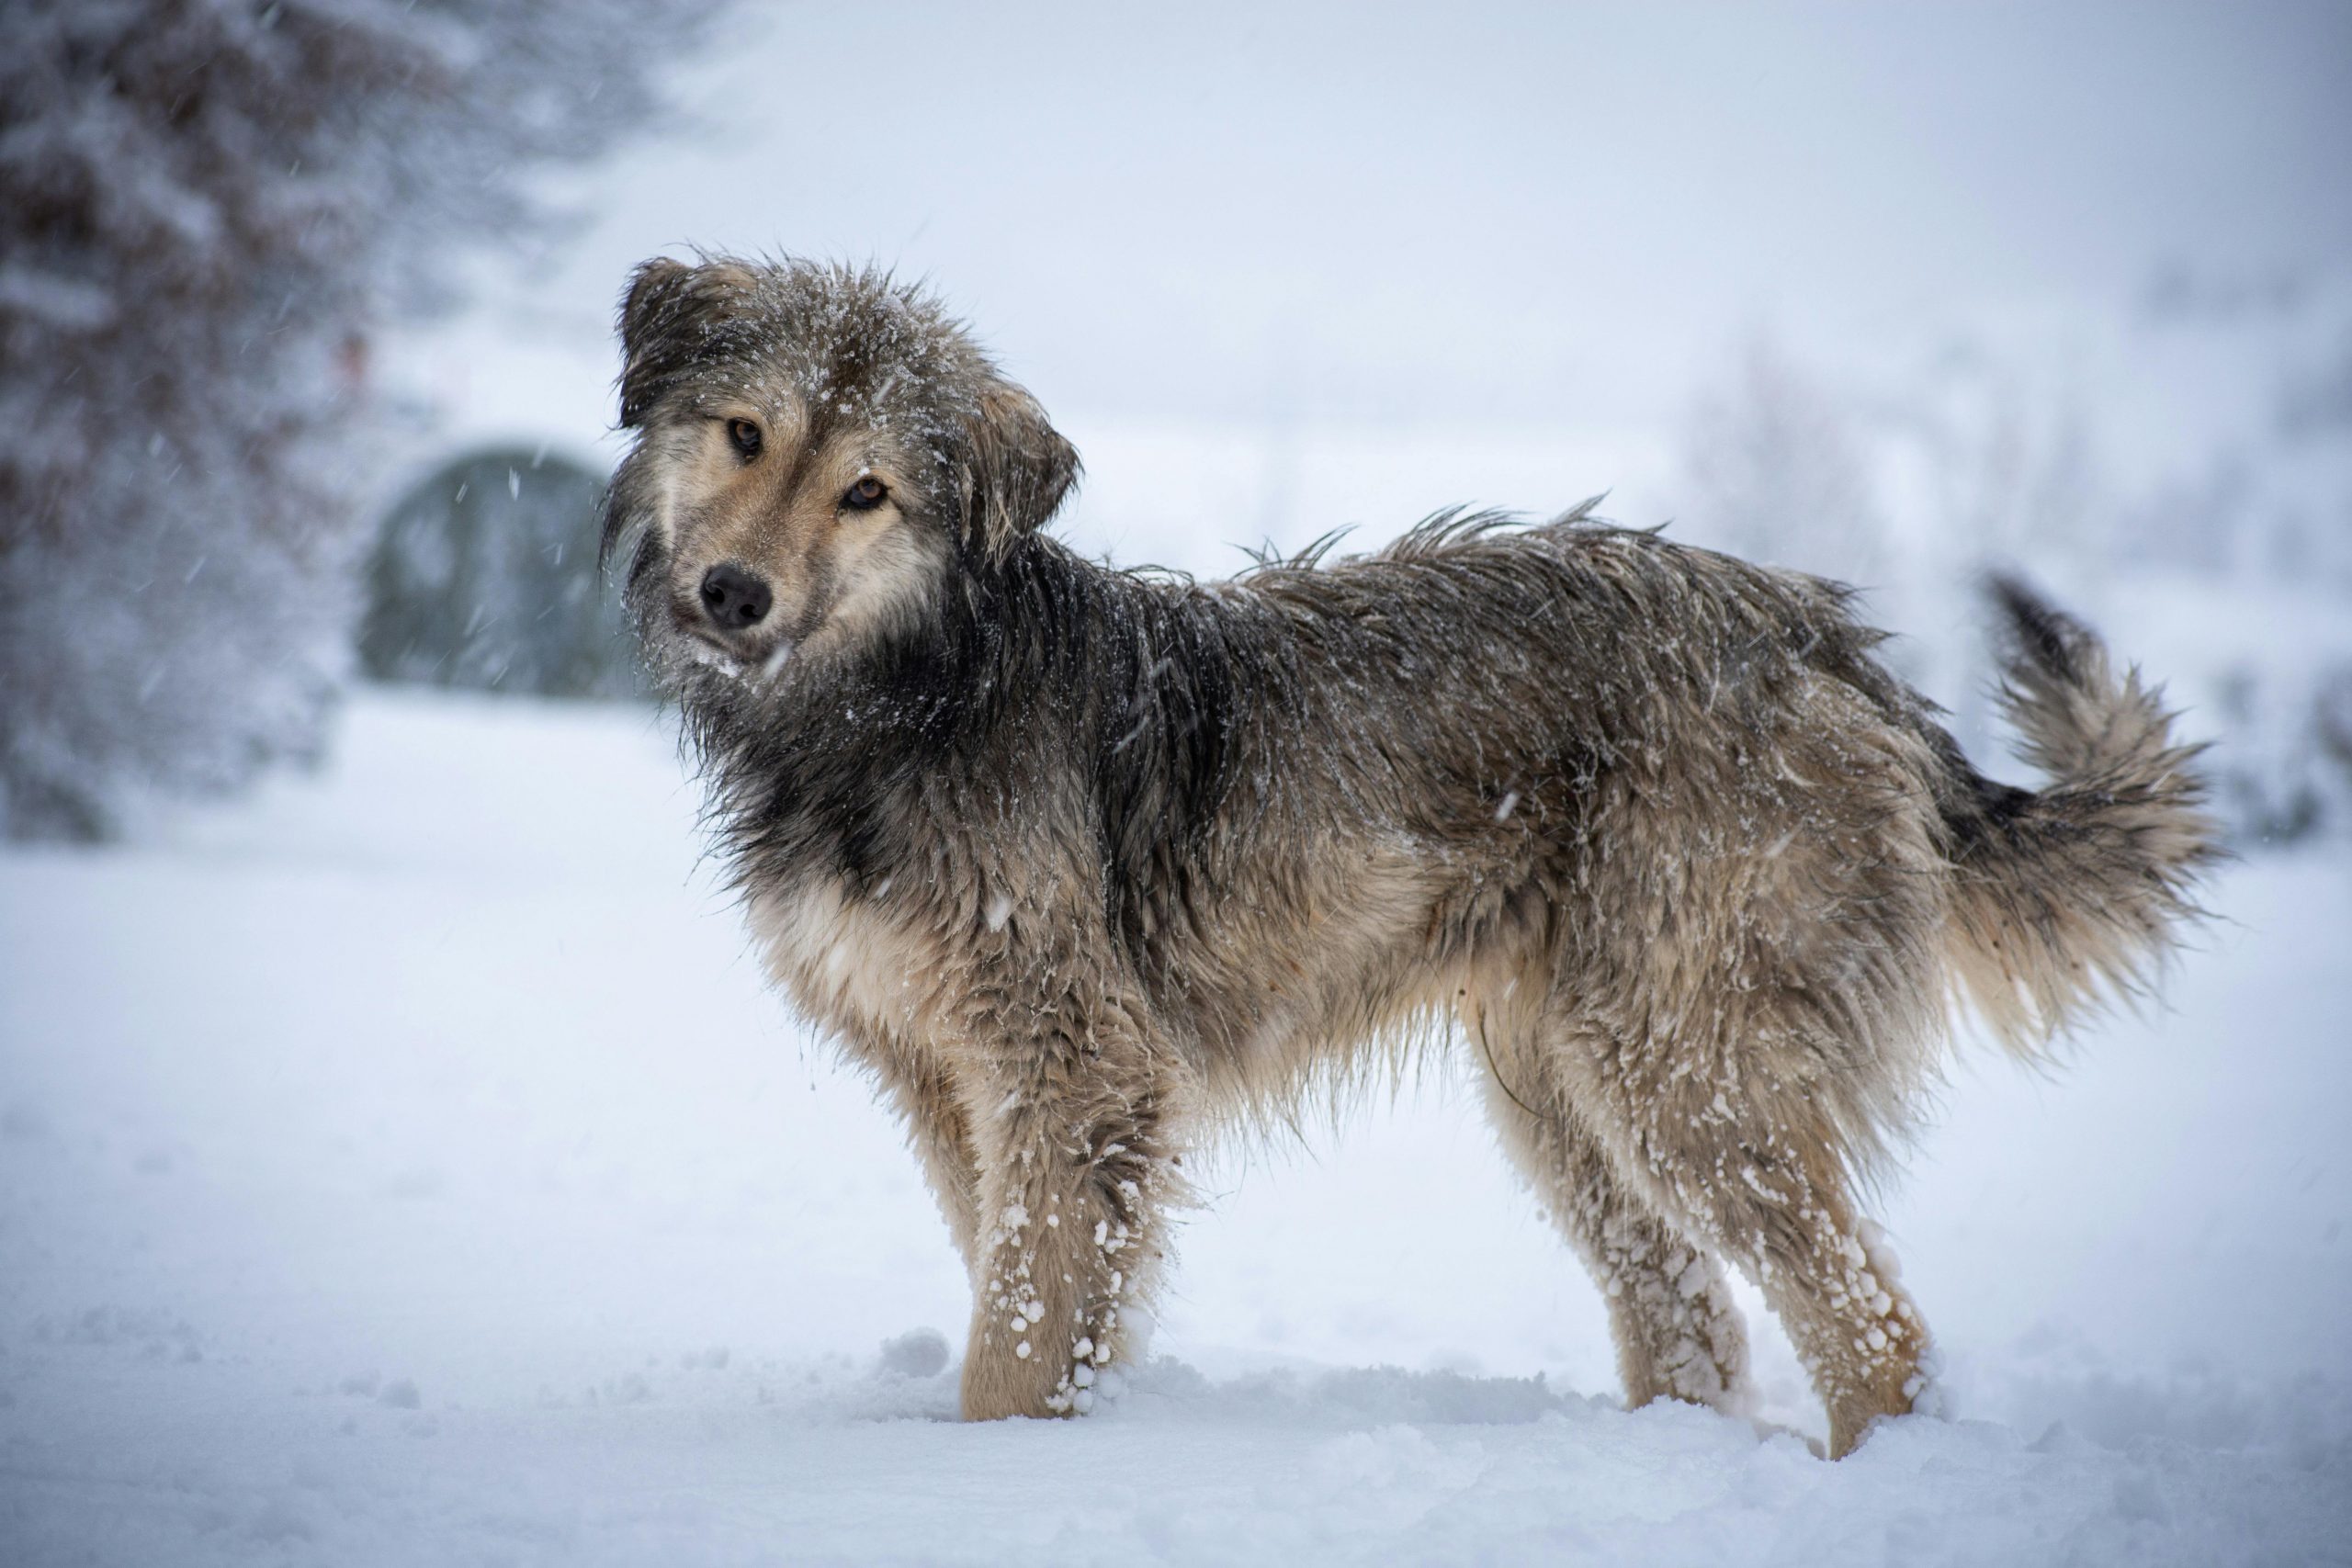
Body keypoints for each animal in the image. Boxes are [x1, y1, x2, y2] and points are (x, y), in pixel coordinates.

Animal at [597, 254, 2211, 1457]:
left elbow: (1019, 1329)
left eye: (869, 490)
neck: (911, 687)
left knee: (1879, 1331)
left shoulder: (1076, 1063)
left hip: (1686, 1068)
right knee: (1695, 1318)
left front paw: (995, 1474)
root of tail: (1830, 640)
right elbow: (1036, 1294)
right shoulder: (955, 1081)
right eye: (743, 432)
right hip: (1569, 1088)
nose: (732, 594)